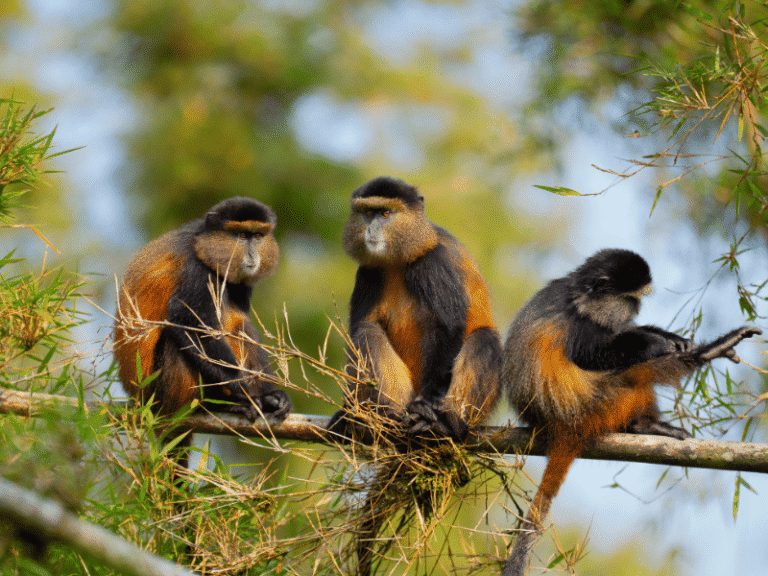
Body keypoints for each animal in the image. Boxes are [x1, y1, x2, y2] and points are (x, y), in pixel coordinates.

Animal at [114, 197, 292, 466]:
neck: (202, 244)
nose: (252, 254)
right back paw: (218, 404)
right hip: (159, 393)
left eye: (258, 236)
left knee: (240, 326)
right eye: (242, 235)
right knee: (175, 340)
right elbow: (187, 321)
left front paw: (271, 396)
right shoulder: (197, 270)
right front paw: (248, 394)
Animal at [327, 175, 502, 442]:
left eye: (385, 214)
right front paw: (348, 412)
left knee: (485, 337)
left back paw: (448, 423)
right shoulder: (367, 273)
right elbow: (358, 331)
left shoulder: (432, 262)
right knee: (367, 331)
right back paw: (385, 415)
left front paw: (429, 404)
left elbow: (448, 327)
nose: (371, 229)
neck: (398, 261)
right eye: (368, 213)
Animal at [500, 248, 761, 576]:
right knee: (635, 372)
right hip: (600, 402)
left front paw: (668, 336)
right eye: (631, 299)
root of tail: (559, 426)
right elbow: (593, 354)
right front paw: (658, 341)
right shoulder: (581, 326)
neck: (578, 296)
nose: (637, 309)